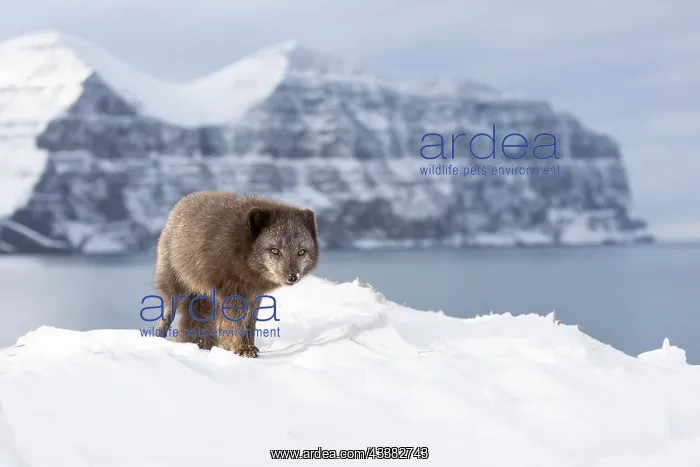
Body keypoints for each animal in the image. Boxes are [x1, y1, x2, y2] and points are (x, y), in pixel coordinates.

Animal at [152, 191, 319, 357]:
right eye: (275, 251)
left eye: (301, 252)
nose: (293, 277)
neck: (241, 251)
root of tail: (184, 200)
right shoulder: (232, 293)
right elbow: (236, 323)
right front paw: (242, 348)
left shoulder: (254, 295)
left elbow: (249, 324)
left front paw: (248, 346)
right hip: (175, 290)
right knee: (166, 313)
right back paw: (157, 339)